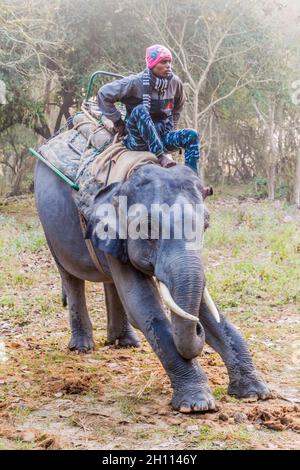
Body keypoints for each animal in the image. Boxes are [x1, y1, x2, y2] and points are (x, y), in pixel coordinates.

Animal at [34, 160, 268, 414]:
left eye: (205, 226)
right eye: (146, 227)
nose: (198, 330)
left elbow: (203, 308)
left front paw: (255, 393)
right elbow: (143, 306)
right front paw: (196, 405)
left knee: (110, 283)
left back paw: (125, 343)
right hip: (50, 229)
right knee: (71, 277)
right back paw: (82, 347)